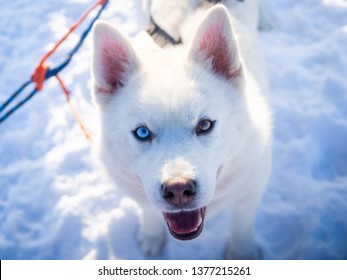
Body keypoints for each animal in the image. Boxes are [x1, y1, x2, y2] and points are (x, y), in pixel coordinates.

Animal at [92, 0, 272, 258]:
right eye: (142, 132)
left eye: (204, 124)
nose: (178, 190)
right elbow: (149, 210)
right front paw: (151, 235)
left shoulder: (248, 193)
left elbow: (241, 226)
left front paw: (242, 253)